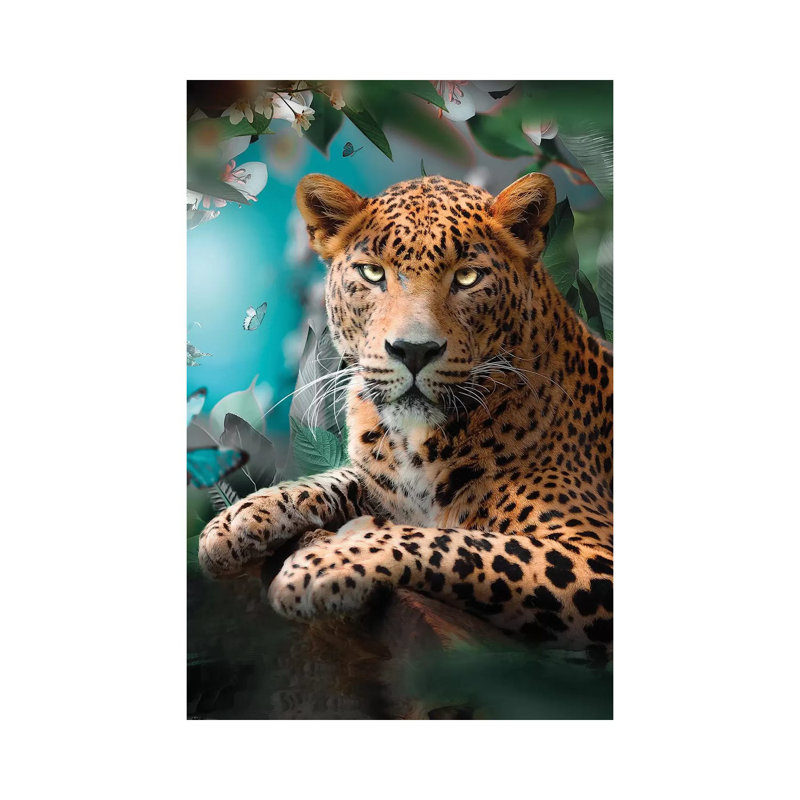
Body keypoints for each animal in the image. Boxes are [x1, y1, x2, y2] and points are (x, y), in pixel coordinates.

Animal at [199, 171, 613, 654]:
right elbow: (337, 478)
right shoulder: (380, 478)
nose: (414, 351)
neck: (415, 443)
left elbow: (454, 542)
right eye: (373, 273)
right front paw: (238, 519)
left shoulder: (593, 553)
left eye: (467, 277)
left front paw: (323, 563)